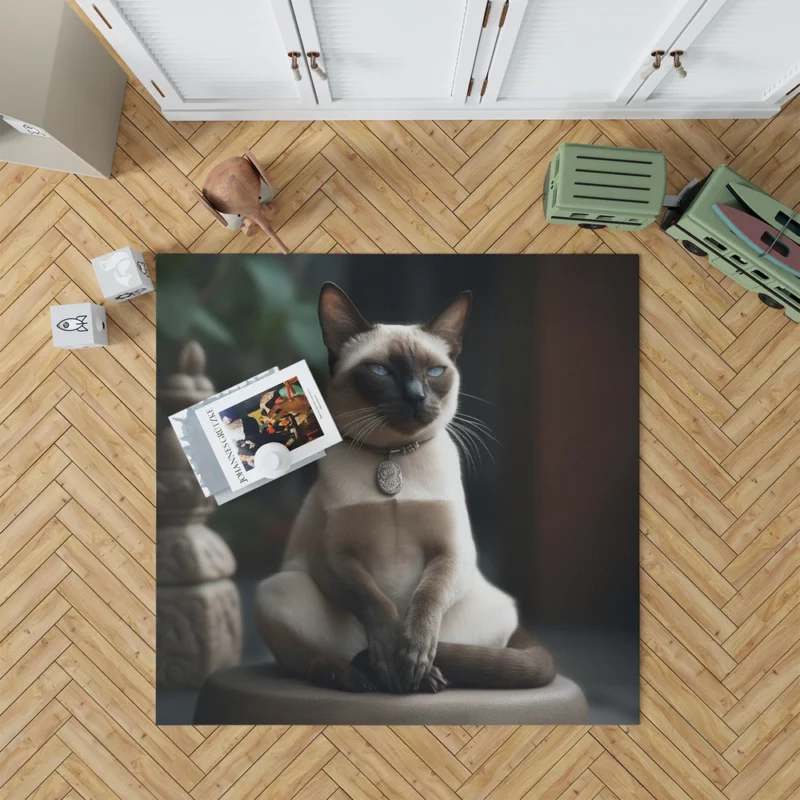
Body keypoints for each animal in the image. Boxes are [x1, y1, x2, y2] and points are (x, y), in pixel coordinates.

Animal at [256, 282, 556, 692]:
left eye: (435, 371)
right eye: (380, 371)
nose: (415, 396)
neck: (393, 455)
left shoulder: (450, 553)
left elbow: (426, 599)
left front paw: (412, 658)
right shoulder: (337, 559)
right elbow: (377, 604)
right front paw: (389, 657)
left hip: (496, 605)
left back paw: (424, 676)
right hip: (279, 588)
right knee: (306, 660)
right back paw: (357, 674)